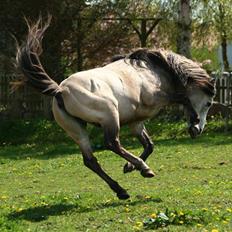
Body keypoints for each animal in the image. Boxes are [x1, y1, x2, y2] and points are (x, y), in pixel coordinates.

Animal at [16, 17, 216, 199]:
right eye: (208, 103)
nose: (198, 130)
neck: (155, 70)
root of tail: (61, 90)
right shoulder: (154, 98)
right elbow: (182, 98)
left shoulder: (137, 122)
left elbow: (149, 145)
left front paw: (129, 167)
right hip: (110, 117)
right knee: (112, 144)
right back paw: (143, 169)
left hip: (77, 130)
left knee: (91, 160)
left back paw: (121, 190)